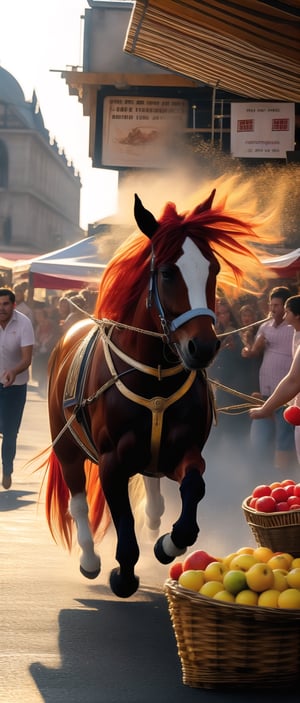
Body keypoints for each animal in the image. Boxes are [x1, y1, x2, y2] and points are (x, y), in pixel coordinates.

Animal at [44, 190, 268, 596]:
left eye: (213, 269)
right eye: (166, 272)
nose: (203, 347)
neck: (156, 378)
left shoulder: (184, 451)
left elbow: (194, 489)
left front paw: (169, 544)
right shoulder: (112, 462)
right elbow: (122, 522)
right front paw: (124, 574)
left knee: (153, 493)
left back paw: (153, 526)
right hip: (66, 443)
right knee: (78, 500)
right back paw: (90, 559)